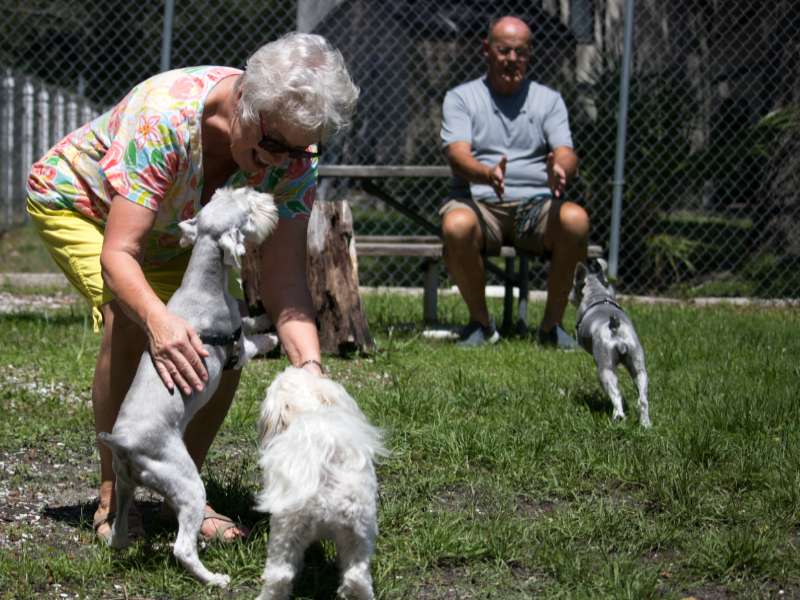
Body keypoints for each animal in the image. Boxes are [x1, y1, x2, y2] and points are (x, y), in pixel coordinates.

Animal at [97, 186, 282, 584]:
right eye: (246, 209)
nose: (260, 193)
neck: (203, 284)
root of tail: (124, 445)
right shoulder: (236, 351)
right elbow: (252, 341)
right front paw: (272, 337)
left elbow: (249, 320)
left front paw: (262, 316)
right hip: (187, 484)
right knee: (182, 548)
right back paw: (214, 578)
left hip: (124, 483)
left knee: (118, 532)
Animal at [568, 258, 648, 426]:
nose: (569, 298)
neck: (596, 294)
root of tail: (615, 329)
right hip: (638, 365)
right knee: (642, 398)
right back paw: (646, 424)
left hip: (605, 369)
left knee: (616, 394)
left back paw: (619, 416)